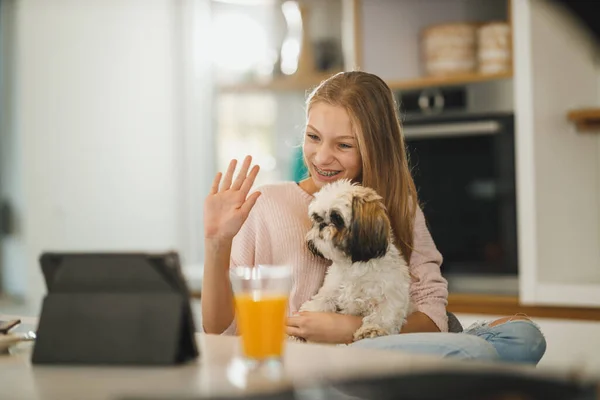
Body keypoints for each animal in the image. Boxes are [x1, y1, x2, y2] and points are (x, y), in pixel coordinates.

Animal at [294, 180, 412, 342]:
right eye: (317, 218)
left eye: (337, 218)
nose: (322, 224)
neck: (354, 265)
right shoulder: (331, 290)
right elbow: (321, 301)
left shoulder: (391, 296)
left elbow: (383, 315)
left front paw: (371, 329)